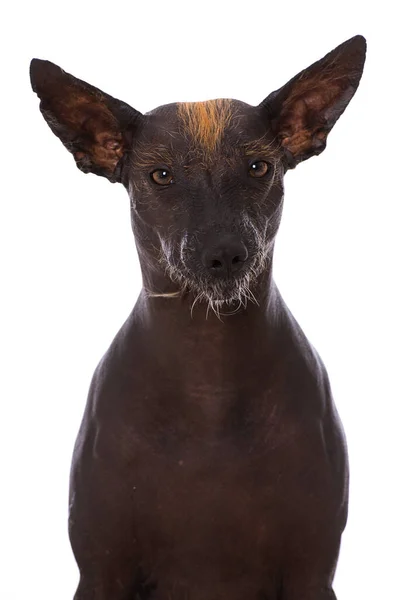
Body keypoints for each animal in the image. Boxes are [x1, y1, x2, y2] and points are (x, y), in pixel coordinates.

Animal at [30, 36, 366, 600]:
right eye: (161, 175)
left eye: (258, 168)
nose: (224, 253)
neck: (209, 377)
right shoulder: (101, 571)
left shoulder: (312, 571)